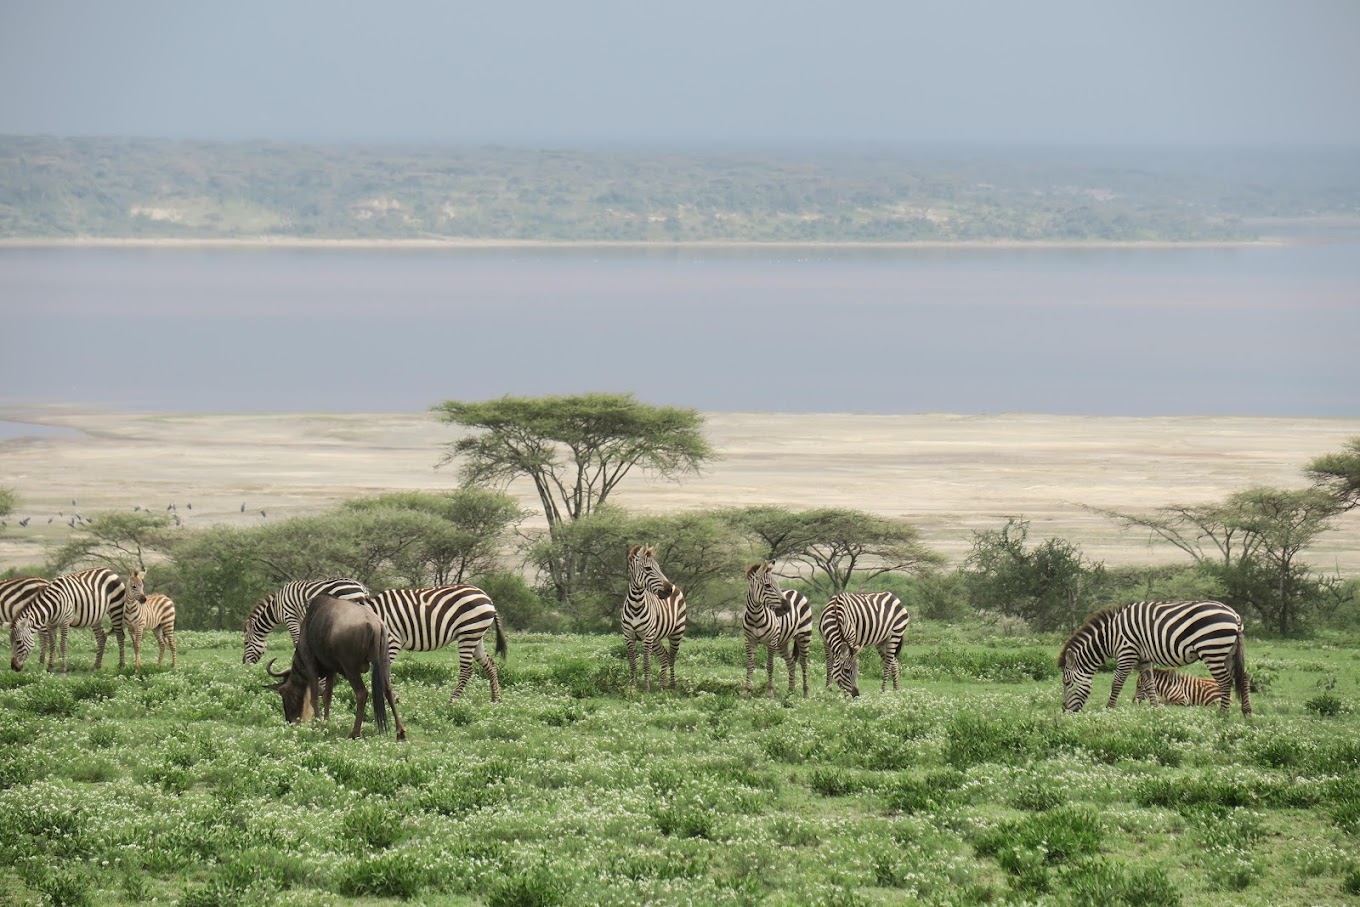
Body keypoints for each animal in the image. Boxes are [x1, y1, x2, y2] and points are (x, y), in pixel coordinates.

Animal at [239, 579, 367, 663]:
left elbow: (296, 642)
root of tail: (362, 588)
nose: (244, 663)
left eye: (245, 643)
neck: (276, 608)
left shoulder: (290, 617)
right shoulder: (300, 620)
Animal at [364, 584, 508, 707]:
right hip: (476, 636)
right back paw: (495, 699)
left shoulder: (392, 641)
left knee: (467, 670)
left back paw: (451, 703)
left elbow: (383, 672)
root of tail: (487, 597)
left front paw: (393, 701)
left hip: (468, 633)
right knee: (490, 665)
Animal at [625, 546, 690, 696]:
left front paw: (646, 687)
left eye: (658, 567)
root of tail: (676, 586)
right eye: (648, 568)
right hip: (656, 638)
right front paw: (633, 687)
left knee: (671, 657)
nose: (668, 589)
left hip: (677, 633)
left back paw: (672, 685)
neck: (636, 604)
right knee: (664, 656)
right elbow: (632, 662)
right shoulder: (628, 636)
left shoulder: (647, 637)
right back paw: (662, 685)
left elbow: (646, 663)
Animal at [739, 562, 810, 701]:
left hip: (804, 635)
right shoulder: (749, 640)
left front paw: (770, 691)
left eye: (777, 584)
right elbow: (749, 664)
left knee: (803, 663)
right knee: (791, 662)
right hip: (782, 642)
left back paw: (805, 693)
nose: (787, 608)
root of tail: (795, 590)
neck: (755, 616)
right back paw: (790, 690)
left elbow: (770, 665)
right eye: (767, 585)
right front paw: (746, 690)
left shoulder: (772, 641)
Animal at [1049, 598, 1251, 717]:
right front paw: (1156, 710)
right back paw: (1246, 711)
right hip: (1229, 651)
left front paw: (1109, 709)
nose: (1064, 710)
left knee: (1225, 680)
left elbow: (1117, 683)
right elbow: (1150, 683)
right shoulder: (1143, 658)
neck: (1110, 637)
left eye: (1067, 683)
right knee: (1243, 677)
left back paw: (1223, 714)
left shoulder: (1127, 653)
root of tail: (1234, 615)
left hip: (1212, 649)